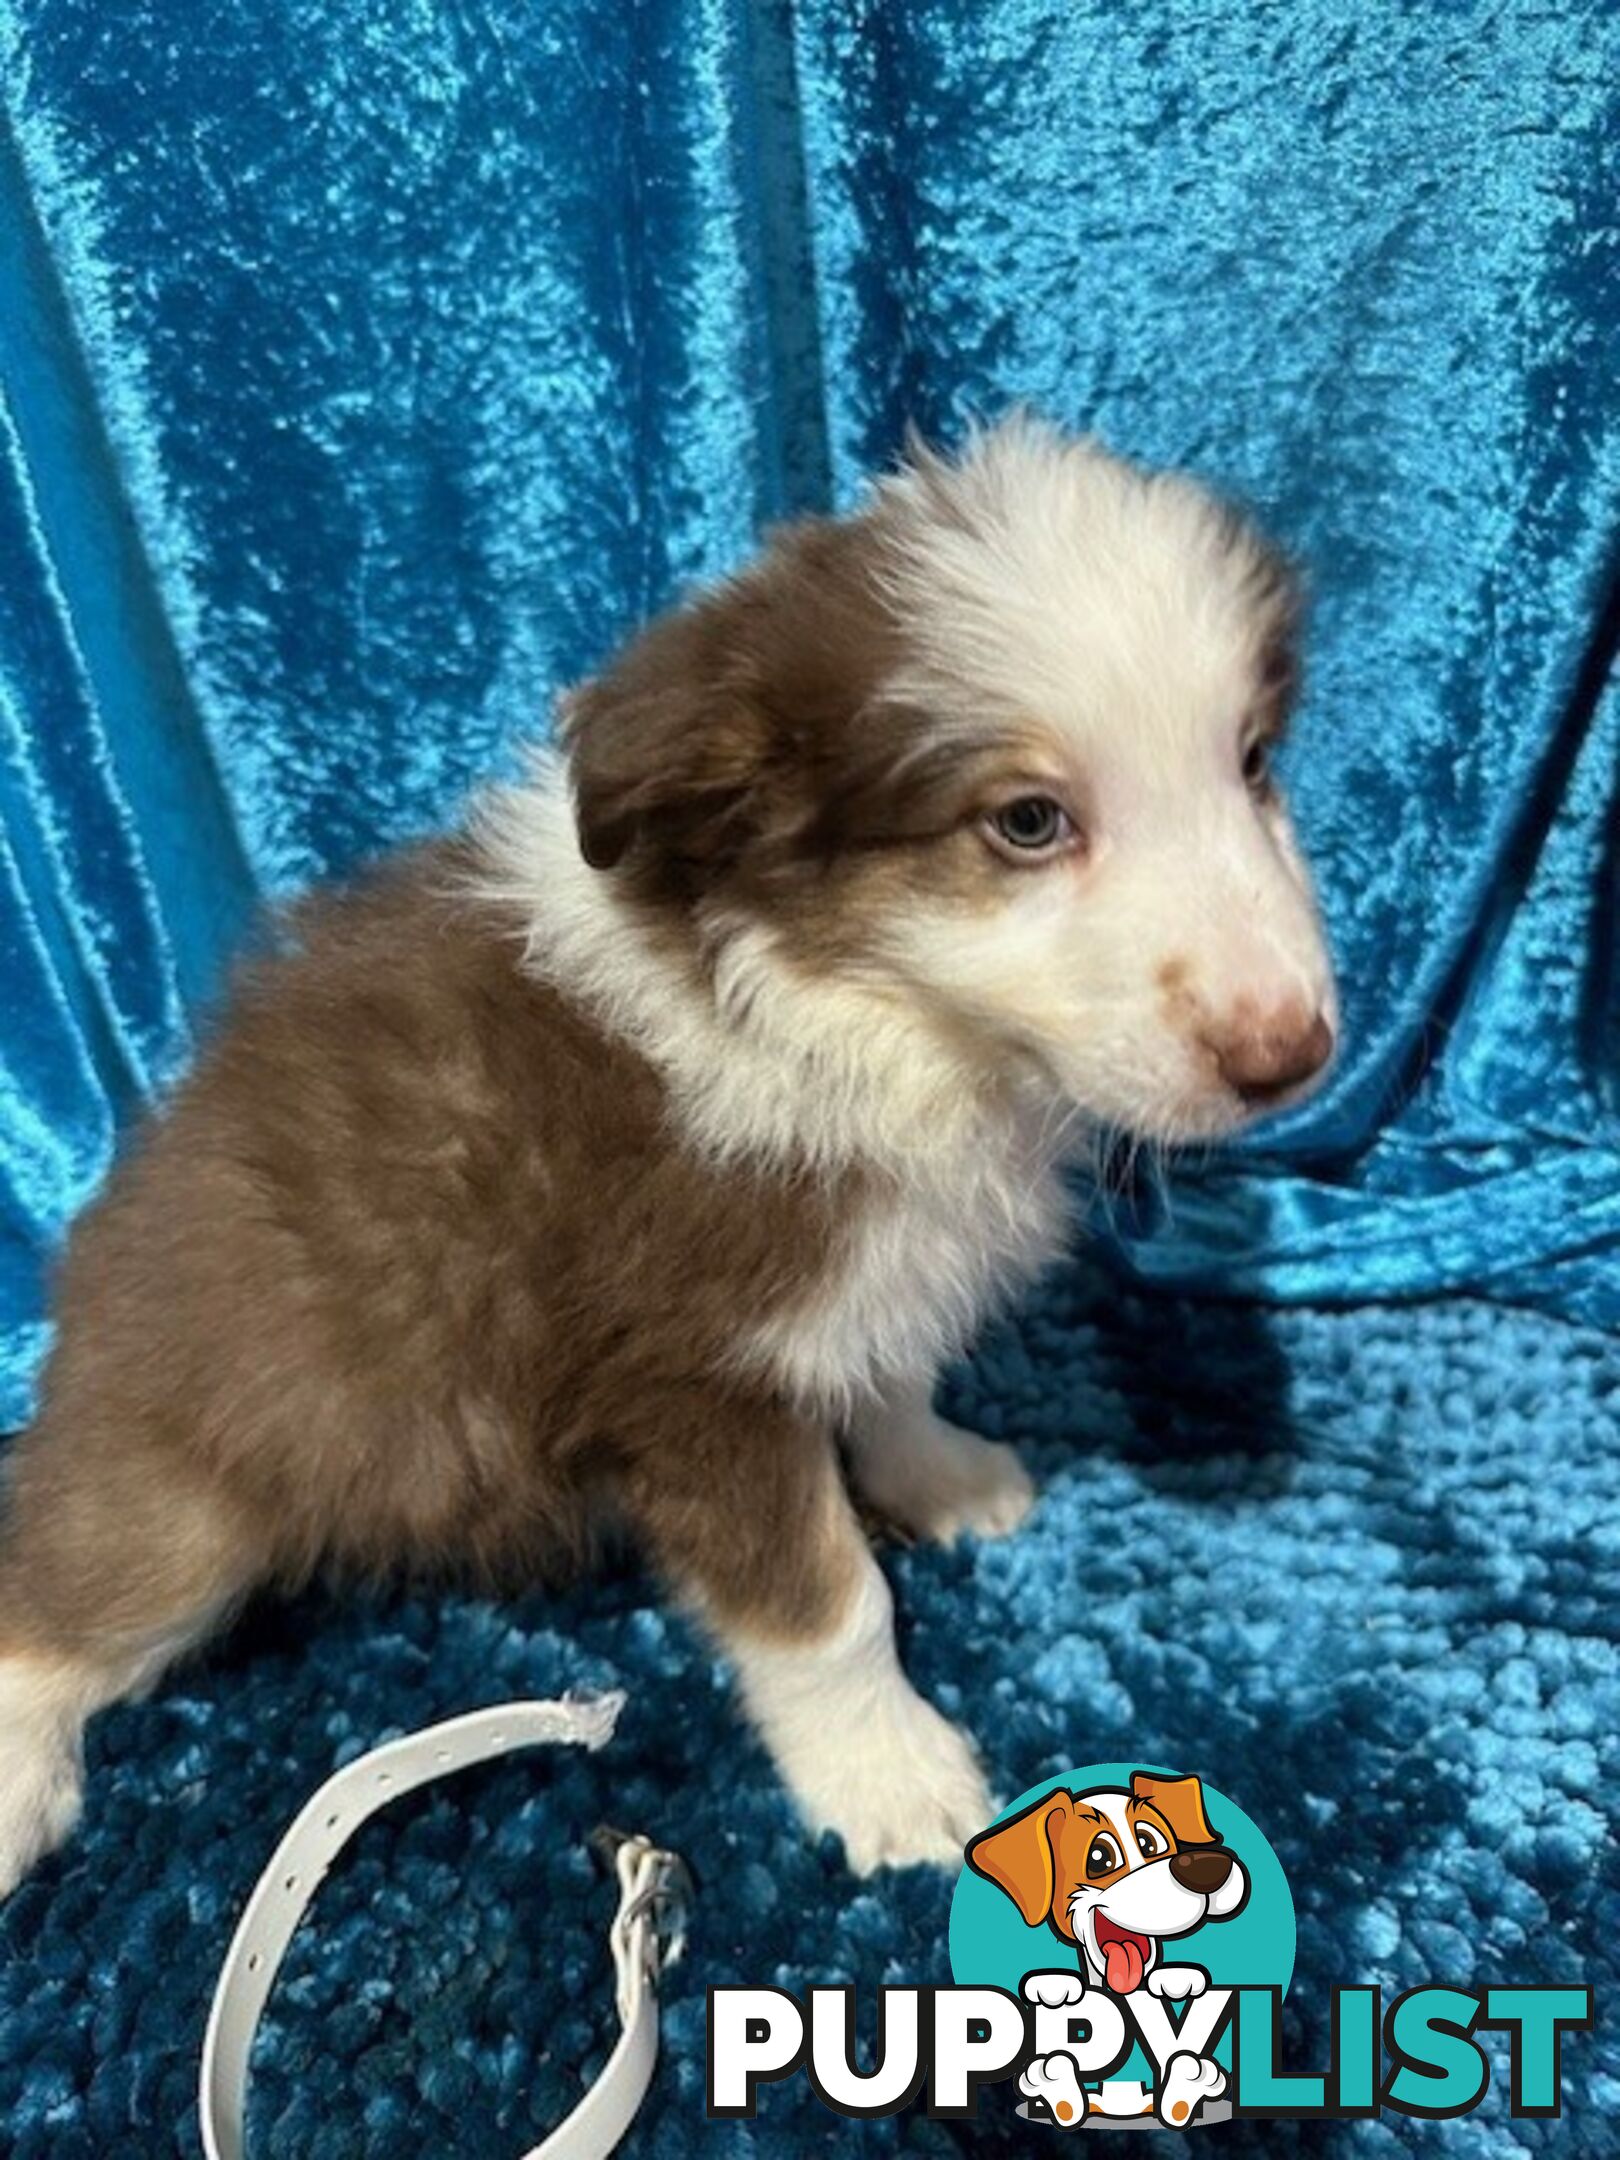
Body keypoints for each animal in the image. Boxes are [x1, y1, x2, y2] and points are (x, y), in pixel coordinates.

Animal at [0, 408, 1339, 1892]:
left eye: (1254, 761)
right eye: (1028, 821)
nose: (1292, 1050)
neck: (885, 1018)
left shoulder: (857, 1282)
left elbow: (889, 1376)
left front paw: (940, 1473)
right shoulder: (696, 1379)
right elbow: (831, 1606)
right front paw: (889, 1775)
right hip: (203, 1468)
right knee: (54, 1598)